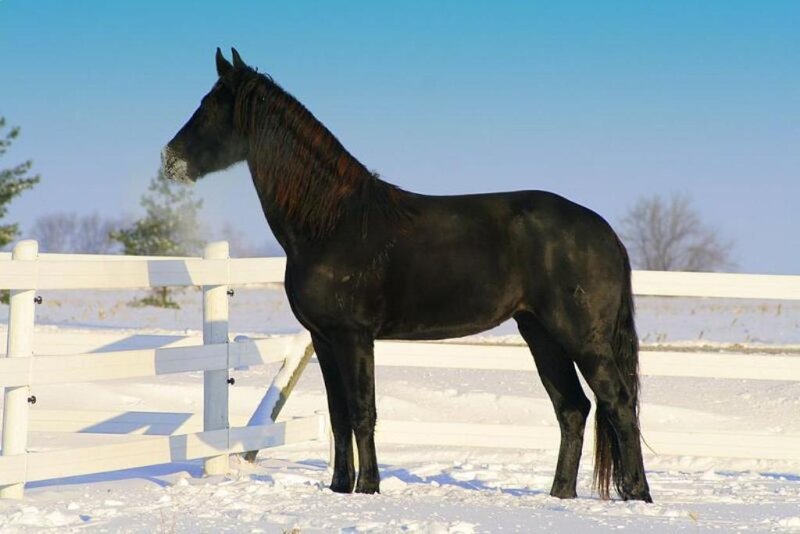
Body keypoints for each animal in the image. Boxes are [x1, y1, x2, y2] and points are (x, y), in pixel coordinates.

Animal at [162, 48, 652, 502]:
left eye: (210, 106)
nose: (169, 160)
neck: (332, 222)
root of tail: (605, 231)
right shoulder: (324, 338)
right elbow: (338, 415)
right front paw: (340, 487)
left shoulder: (354, 336)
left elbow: (363, 412)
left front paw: (368, 488)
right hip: (540, 333)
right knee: (573, 408)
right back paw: (560, 495)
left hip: (581, 337)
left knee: (617, 402)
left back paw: (637, 494)